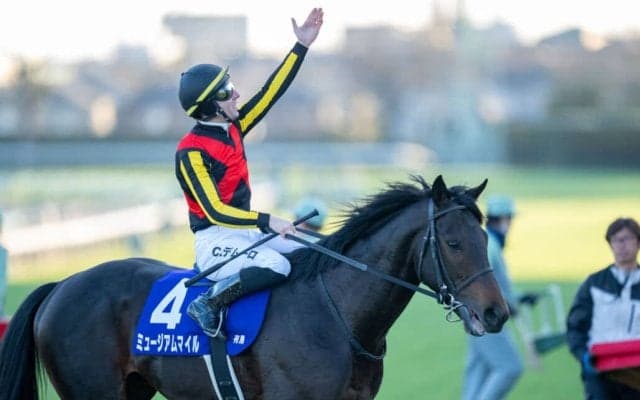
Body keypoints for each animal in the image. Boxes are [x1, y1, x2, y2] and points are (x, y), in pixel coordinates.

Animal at [0, 175, 509, 400]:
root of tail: (61, 285)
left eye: (486, 238)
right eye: (454, 243)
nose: (496, 313)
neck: (337, 315)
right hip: (93, 392)